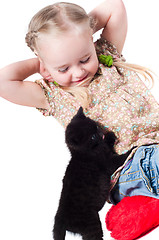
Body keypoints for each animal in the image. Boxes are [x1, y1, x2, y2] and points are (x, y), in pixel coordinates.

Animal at [52, 108, 132, 239]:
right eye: (93, 137)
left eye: (96, 126)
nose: (100, 133)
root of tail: (60, 218)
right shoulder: (108, 162)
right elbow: (121, 158)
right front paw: (135, 148)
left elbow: (107, 144)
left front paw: (110, 136)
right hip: (92, 224)